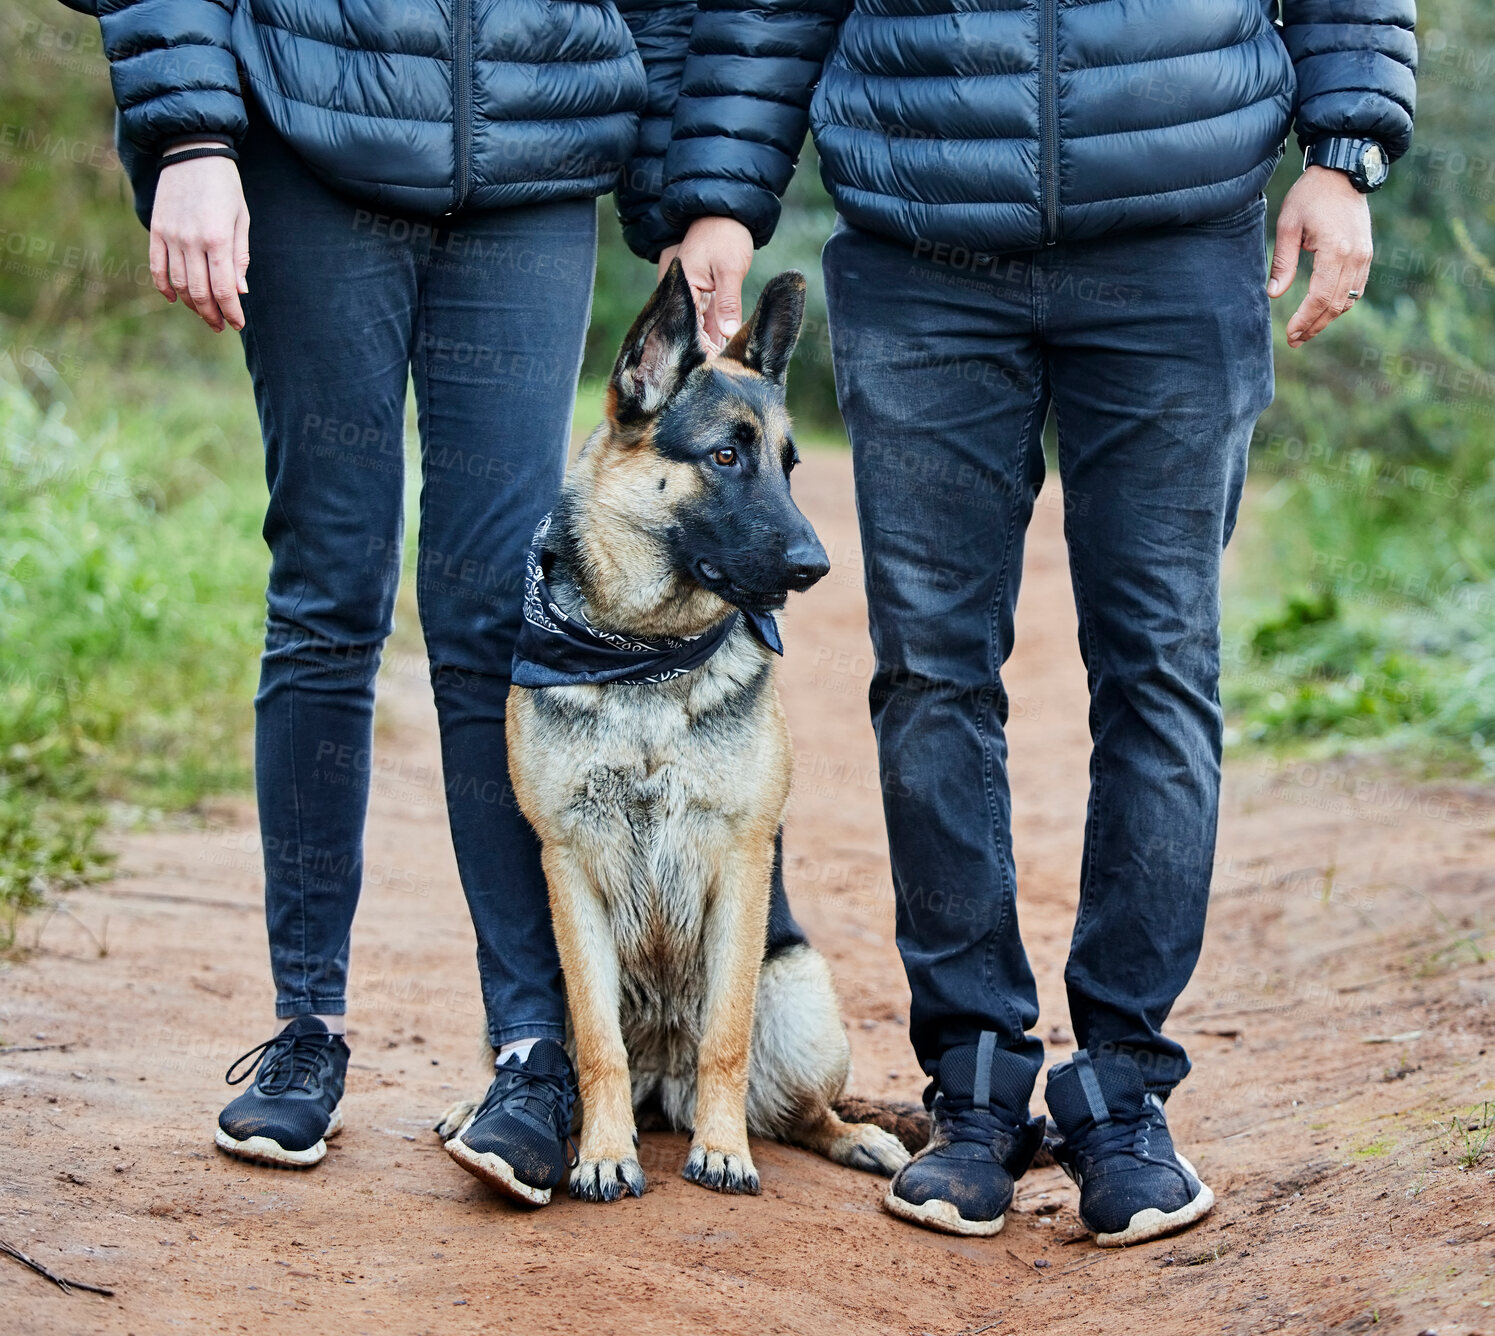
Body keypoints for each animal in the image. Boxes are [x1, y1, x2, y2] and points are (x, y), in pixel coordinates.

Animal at [439, 261, 908, 1201]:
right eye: (725, 456)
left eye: (789, 467)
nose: (816, 566)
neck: (642, 661)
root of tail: (665, 1087)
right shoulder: (570, 869)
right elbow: (594, 1046)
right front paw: (603, 1152)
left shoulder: (739, 862)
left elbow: (725, 1037)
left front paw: (722, 1151)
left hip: (800, 992)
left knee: (799, 1112)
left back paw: (852, 1138)